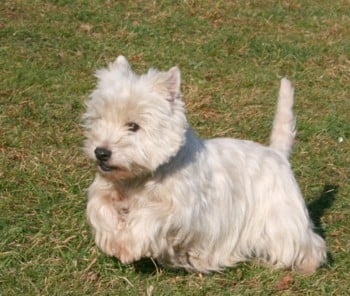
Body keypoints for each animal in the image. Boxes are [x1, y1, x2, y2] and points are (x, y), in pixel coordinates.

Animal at [83, 55, 326, 272]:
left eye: (133, 126)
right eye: (99, 119)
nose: (101, 152)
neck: (139, 177)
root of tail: (277, 153)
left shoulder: (181, 209)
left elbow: (150, 216)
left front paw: (129, 245)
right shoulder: (107, 188)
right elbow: (100, 207)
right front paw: (114, 240)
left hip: (281, 214)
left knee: (307, 243)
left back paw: (306, 265)